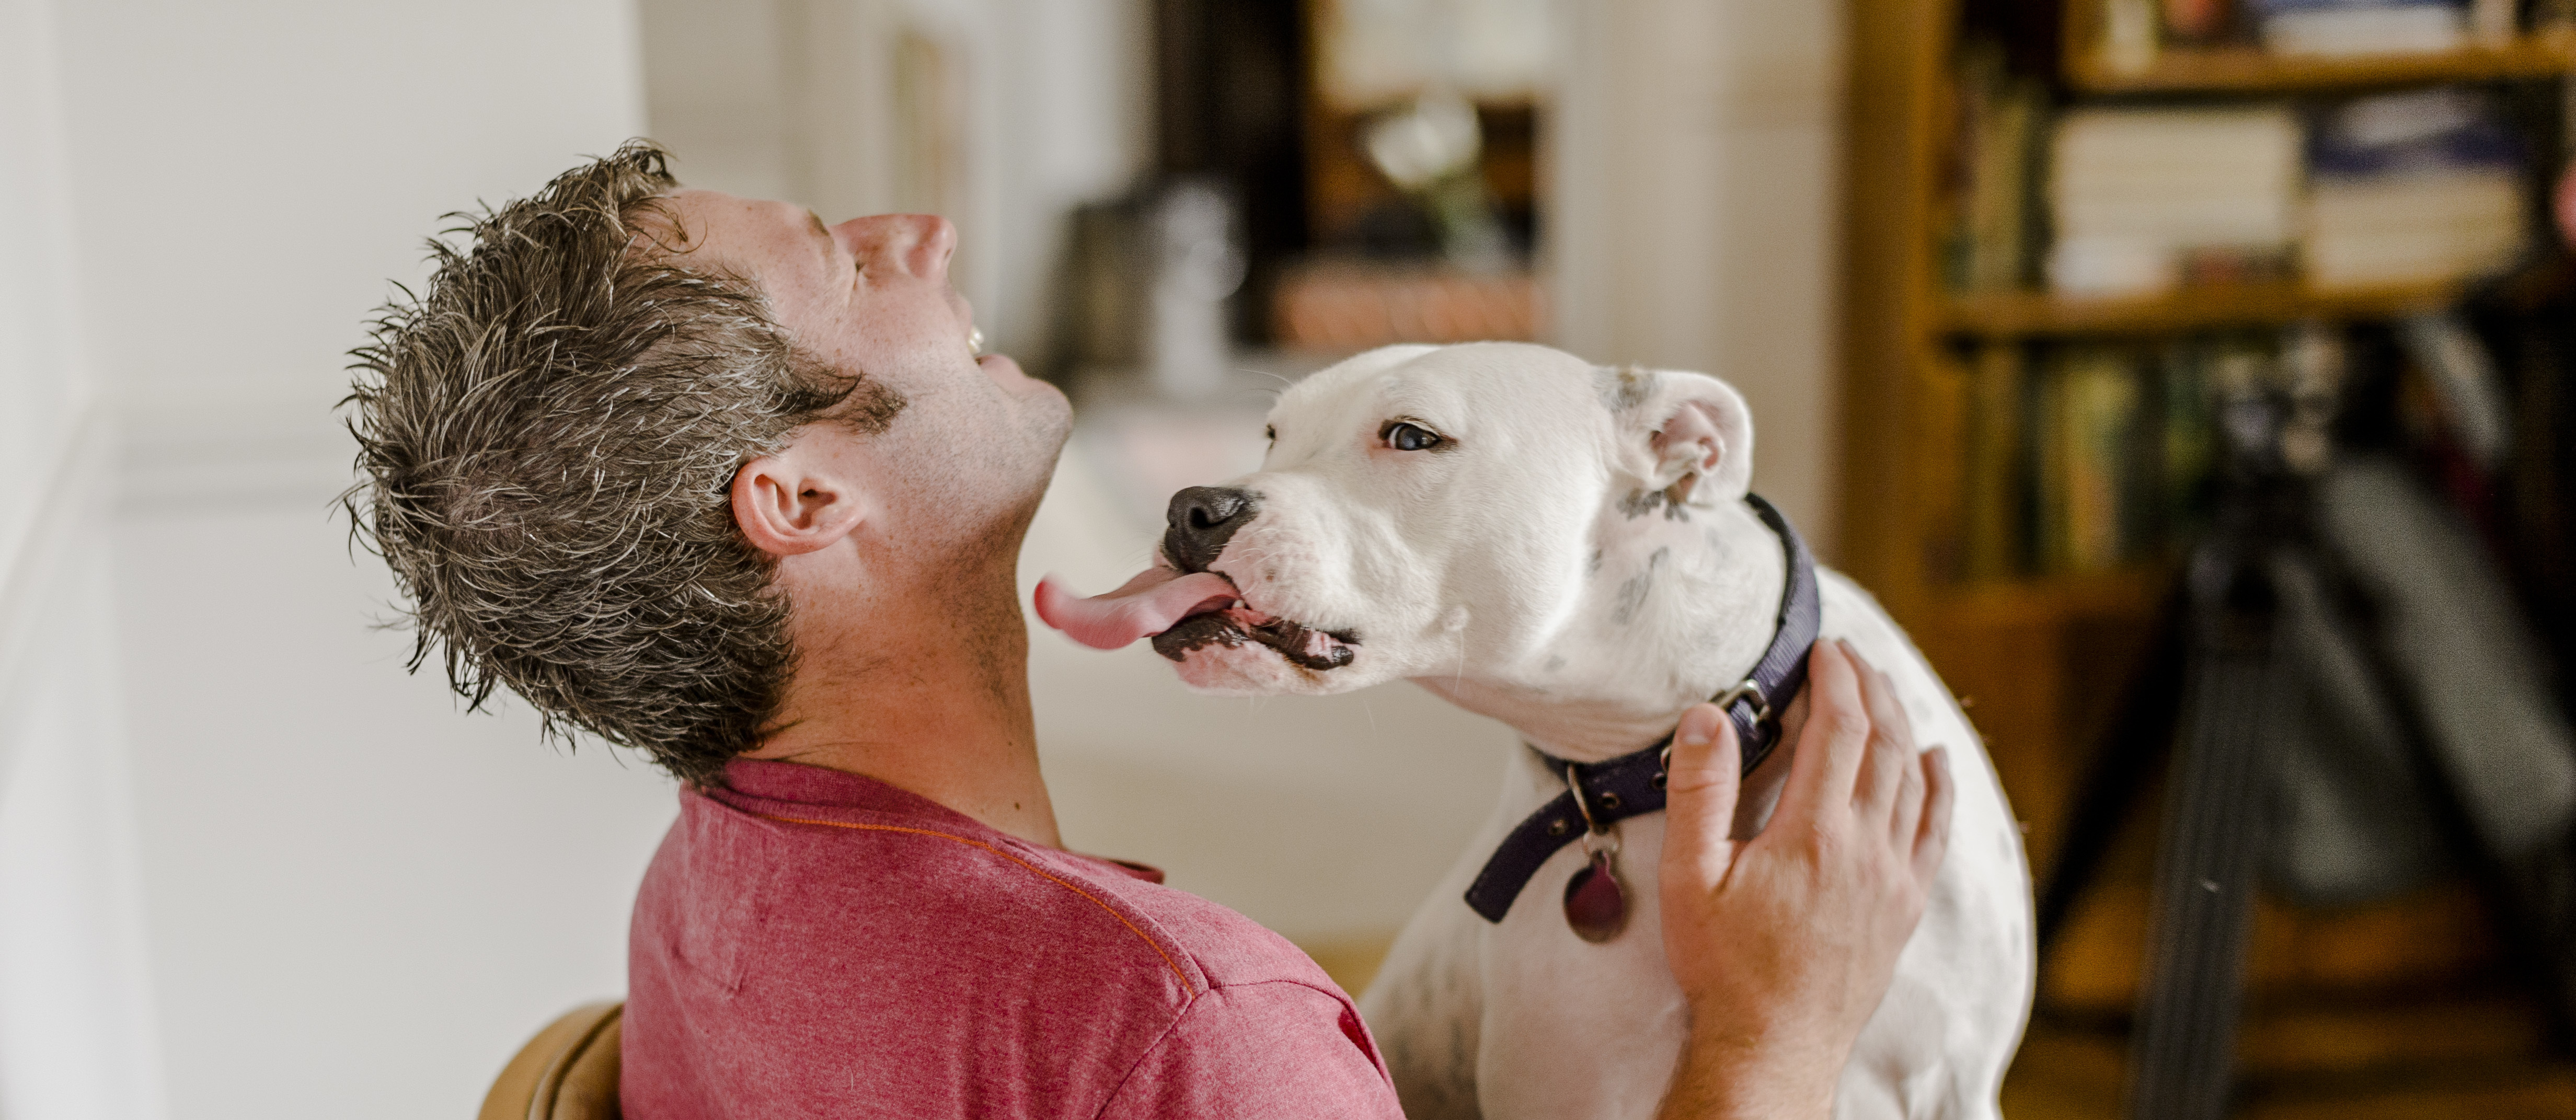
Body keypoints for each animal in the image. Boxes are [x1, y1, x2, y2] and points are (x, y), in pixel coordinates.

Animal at [1040, 345, 2030, 1120]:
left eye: (1410, 436)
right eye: (1275, 434)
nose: (1191, 505)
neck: (1656, 744)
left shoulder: (1954, 1086)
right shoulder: (1580, 1085)